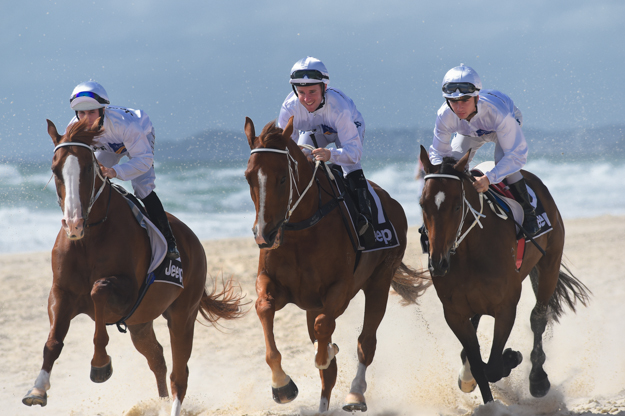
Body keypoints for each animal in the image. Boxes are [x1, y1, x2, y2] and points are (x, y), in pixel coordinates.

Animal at [21, 118, 244, 416]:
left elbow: (98, 291)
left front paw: (100, 364)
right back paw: (159, 403)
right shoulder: (62, 293)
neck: (90, 236)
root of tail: (194, 240)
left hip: (182, 315)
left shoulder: (126, 295)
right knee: (158, 358)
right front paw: (38, 389)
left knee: (179, 373)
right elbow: (53, 341)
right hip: (141, 323)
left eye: (89, 168)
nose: (73, 224)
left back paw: (172, 406)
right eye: (55, 169)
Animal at [241, 116, 432, 412]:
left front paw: (326, 354)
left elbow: (324, 330)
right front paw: (281, 385)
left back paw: (355, 394)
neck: (303, 230)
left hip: (378, 283)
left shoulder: (339, 289)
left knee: (366, 342)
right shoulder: (276, 284)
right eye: (249, 177)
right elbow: (264, 308)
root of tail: (393, 203)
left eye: (282, 178)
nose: (264, 235)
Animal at [416, 145, 588, 404]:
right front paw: (478, 388)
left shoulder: (506, 306)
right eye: (422, 204)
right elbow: (479, 365)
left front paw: (512, 358)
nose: (438, 263)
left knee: (538, 317)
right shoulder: (454, 313)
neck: (470, 251)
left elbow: (493, 367)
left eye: (457, 206)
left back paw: (538, 379)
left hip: (550, 263)